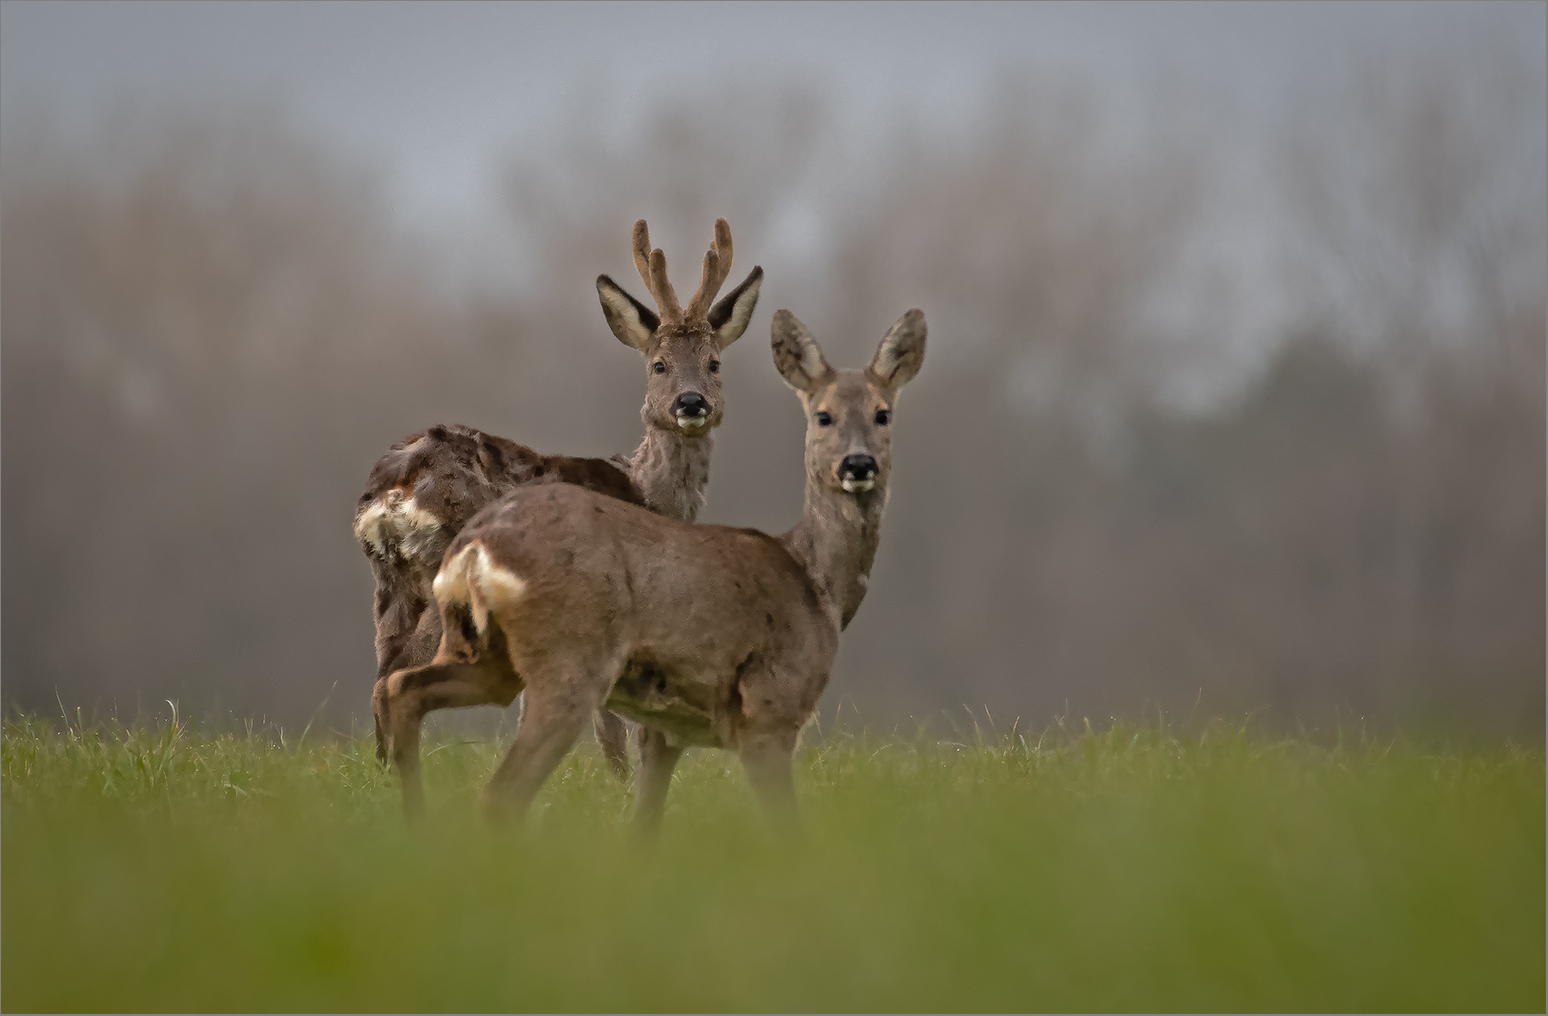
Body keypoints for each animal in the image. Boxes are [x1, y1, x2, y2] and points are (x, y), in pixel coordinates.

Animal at [352, 218, 761, 774]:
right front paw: (620, 782)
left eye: (715, 363)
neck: (648, 492)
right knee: (395, 679)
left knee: (381, 676)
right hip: (443, 577)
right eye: (658, 364)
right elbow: (610, 725)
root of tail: (397, 489)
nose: (691, 402)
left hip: (389, 587)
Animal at [379, 305, 922, 830]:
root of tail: (476, 546)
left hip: (483, 656)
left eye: (883, 414)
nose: (858, 465)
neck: (816, 583)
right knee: (499, 793)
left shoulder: (667, 731)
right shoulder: (770, 709)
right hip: (568, 664)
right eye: (823, 416)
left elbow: (644, 826)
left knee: (401, 687)